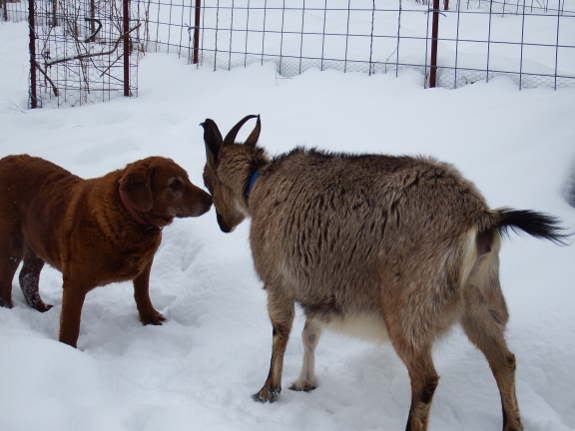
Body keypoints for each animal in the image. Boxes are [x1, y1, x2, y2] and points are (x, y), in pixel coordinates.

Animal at [0, 155, 213, 348]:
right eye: (174, 184)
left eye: (187, 178)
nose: (211, 199)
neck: (129, 218)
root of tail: (5, 159)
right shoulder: (75, 282)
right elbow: (71, 325)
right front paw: (69, 351)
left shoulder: (145, 263)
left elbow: (142, 293)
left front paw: (150, 317)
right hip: (11, 244)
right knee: (7, 283)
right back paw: (9, 310)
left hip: (38, 243)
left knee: (27, 277)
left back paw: (40, 308)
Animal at [200, 115, 564, 431]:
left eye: (206, 177)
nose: (222, 224)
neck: (260, 185)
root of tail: (479, 217)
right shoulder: (323, 291)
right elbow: (310, 334)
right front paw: (305, 382)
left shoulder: (278, 283)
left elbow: (281, 333)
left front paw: (266, 393)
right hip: (478, 299)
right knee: (503, 360)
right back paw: (511, 424)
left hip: (410, 308)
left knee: (426, 378)